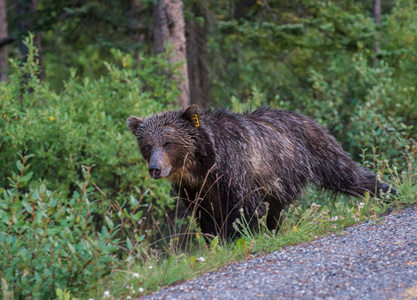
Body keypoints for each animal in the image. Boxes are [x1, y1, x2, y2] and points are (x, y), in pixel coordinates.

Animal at [126, 105, 394, 239]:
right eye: (147, 145)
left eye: (167, 142)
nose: (155, 168)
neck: (201, 164)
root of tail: (305, 116)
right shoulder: (194, 189)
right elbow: (206, 217)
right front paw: (216, 242)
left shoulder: (235, 170)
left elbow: (243, 210)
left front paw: (239, 238)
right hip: (281, 179)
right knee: (276, 209)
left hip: (315, 149)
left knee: (346, 174)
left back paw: (388, 192)